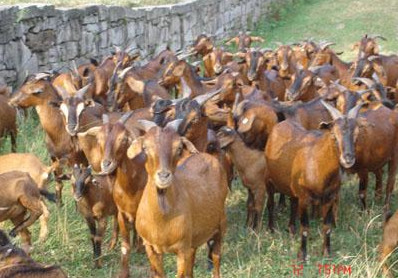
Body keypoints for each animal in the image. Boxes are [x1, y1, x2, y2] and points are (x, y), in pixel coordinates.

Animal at [127, 120, 227, 278]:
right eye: (145, 148)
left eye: (178, 148)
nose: (163, 176)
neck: (162, 220)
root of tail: (205, 155)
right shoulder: (151, 247)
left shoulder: (182, 248)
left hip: (220, 226)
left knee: (216, 258)